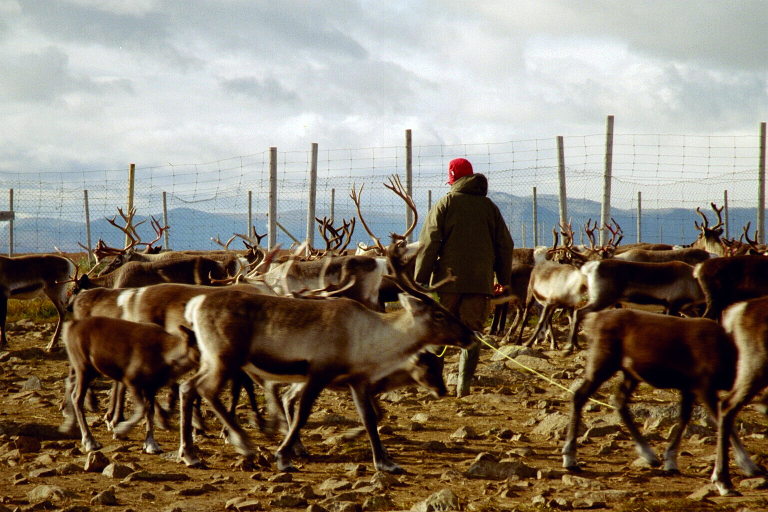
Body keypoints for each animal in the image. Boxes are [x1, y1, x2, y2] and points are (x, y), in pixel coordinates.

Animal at [177, 242, 478, 474]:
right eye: (438, 314)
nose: (471, 334)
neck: (369, 336)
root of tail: (196, 305)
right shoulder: (318, 372)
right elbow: (302, 415)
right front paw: (283, 456)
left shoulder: (357, 381)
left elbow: (369, 418)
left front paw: (385, 462)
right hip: (224, 358)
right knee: (205, 389)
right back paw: (242, 443)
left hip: (213, 359)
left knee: (188, 387)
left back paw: (190, 453)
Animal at [562, 308, 760, 494]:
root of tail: (594, 319)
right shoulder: (704, 386)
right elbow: (721, 419)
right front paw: (747, 465)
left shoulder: (688, 387)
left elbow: (685, 417)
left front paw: (670, 460)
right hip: (603, 362)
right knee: (579, 395)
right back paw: (569, 457)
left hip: (630, 373)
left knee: (618, 400)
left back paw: (649, 454)